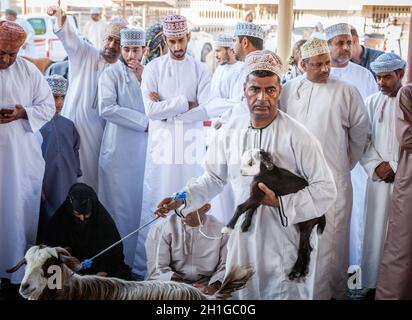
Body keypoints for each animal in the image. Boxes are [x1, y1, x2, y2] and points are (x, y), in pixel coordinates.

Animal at [224, 148, 326, 280]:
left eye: (251, 163)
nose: (241, 171)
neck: (265, 172)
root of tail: (322, 214)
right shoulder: (259, 197)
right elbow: (251, 209)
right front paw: (245, 225)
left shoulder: (258, 195)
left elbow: (240, 207)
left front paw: (228, 228)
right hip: (305, 225)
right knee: (309, 248)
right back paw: (303, 272)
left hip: (306, 224)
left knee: (303, 249)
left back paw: (294, 272)